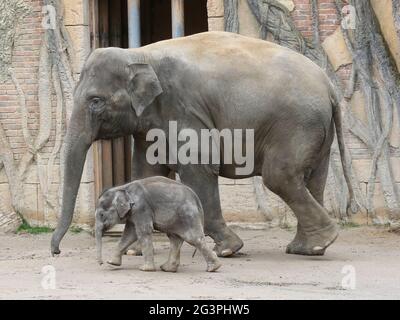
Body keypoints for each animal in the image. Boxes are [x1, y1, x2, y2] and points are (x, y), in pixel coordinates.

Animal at [50, 31, 354, 258]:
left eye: (95, 101)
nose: (56, 251)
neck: (139, 54)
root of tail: (329, 87)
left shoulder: (184, 108)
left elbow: (198, 167)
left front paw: (228, 250)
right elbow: (146, 172)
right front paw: (135, 250)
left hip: (296, 124)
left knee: (279, 176)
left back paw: (320, 241)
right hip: (317, 130)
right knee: (313, 179)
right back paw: (308, 248)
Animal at [95, 175, 223, 272]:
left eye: (101, 215)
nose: (101, 263)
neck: (123, 188)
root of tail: (197, 199)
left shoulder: (141, 208)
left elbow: (143, 231)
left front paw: (145, 269)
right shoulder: (133, 213)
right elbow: (129, 234)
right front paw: (112, 263)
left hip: (188, 215)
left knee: (193, 238)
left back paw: (214, 267)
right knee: (175, 239)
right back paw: (167, 269)